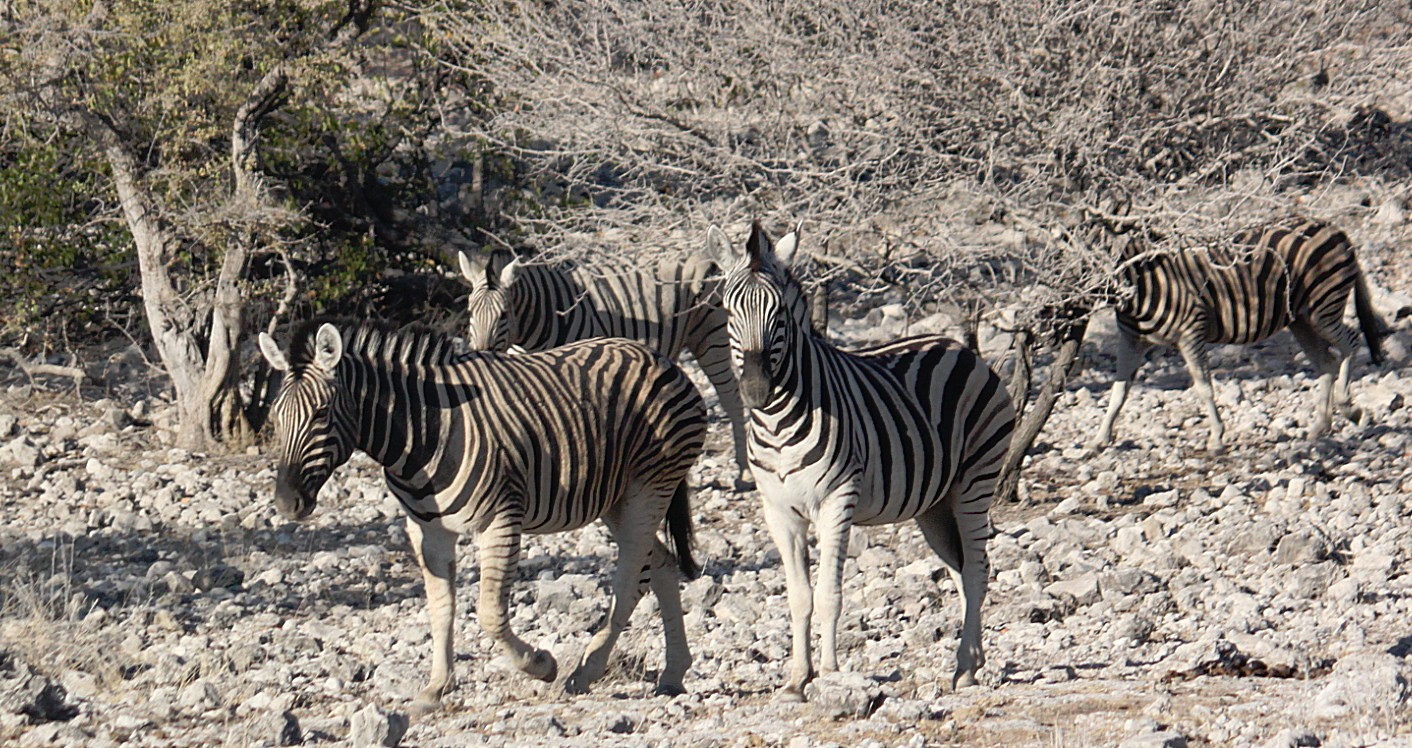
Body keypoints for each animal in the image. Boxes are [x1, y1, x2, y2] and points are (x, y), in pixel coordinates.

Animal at [258, 317, 706, 708]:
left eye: (321, 414)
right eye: (276, 416)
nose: (285, 502)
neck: (423, 434)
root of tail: (659, 358)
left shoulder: (500, 520)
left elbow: (490, 614)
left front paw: (540, 664)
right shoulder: (426, 529)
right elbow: (440, 608)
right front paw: (436, 687)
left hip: (649, 484)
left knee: (631, 579)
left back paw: (585, 671)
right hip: (615, 498)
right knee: (662, 564)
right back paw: (673, 674)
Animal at [457, 246, 756, 485]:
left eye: (504, 314)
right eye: (470, 312)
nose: (480, 355)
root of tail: (703, 253)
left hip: (711, 336)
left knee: (731, 396)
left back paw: (743, 472)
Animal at [703, 222, 1016, 700]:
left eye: (780, 314)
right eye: (727, 310)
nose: (755, 391)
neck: (777, 424)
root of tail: (957, 346)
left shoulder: (837, 500)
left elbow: (829, 593)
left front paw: (831, 673)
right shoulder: (778, 510)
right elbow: (799, 597)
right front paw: (797, 679)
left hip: (975, 481)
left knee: (979, 569)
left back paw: (965, 668)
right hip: (934, 505)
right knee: (962, 571)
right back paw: (971, 661)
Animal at [1084, 213, 1383, 451]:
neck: (1141, 284)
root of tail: (1336, 228)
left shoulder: (1191, 331)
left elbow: (1204, 387)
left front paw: (1216, 437)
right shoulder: (1131, 340)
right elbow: (1119, 391)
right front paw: (1099, 438)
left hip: (1322, 307)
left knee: (1351, 342)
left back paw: (1348, 406)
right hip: (1301, 319)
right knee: (1327, 361)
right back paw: (1320, 425)